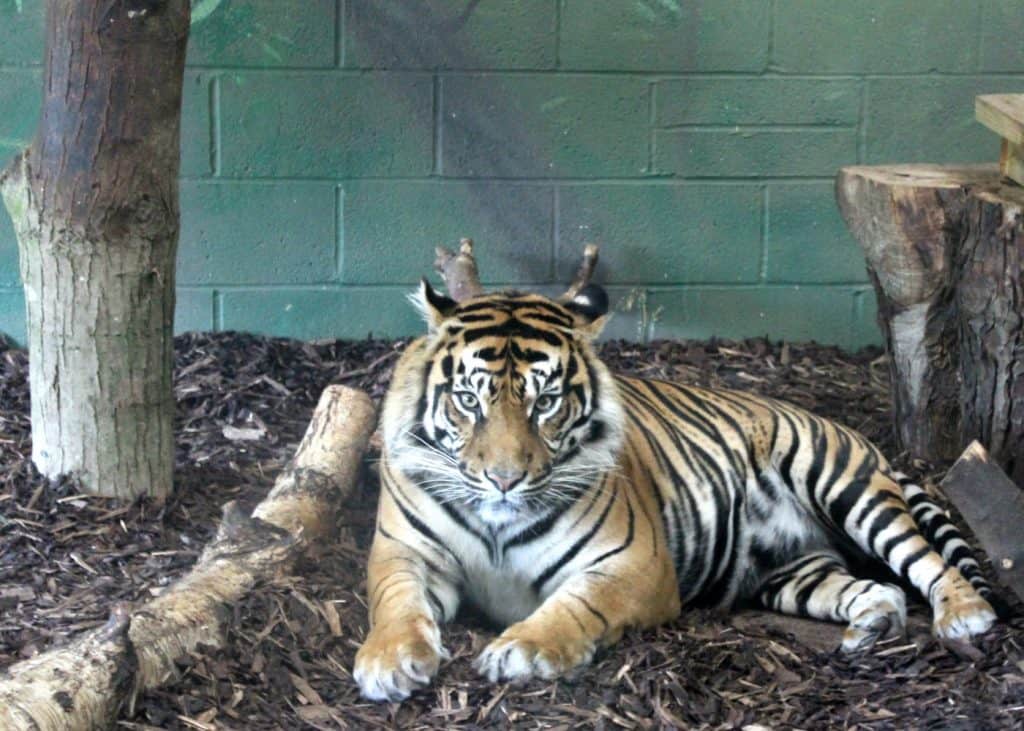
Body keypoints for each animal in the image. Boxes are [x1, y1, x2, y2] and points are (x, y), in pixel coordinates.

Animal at [353, 278, 1002, 702]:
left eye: (546, 402)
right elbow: (395, 602)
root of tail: (853, 433)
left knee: (928, 562)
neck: (496, 523)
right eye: (469, 400)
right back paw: (872, 625)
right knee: (875, 588)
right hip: (794, 572)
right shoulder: (402, 552)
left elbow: (574, 606)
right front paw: (388, 660)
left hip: (843, 483)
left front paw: (525, 648)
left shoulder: (633, 563)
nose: (505, 479)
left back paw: (964, 615)